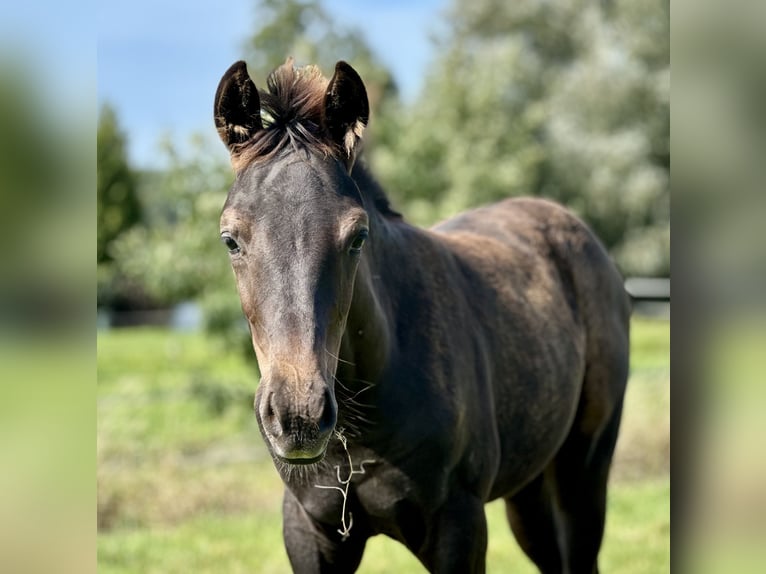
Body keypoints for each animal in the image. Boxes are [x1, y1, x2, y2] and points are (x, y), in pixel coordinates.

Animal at [214, 59, 632, 574]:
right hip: (530, 484)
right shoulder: (309, 529)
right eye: (230, 239)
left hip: (584, 467)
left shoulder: (459, 525)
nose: (298, 416)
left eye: (357, 237)